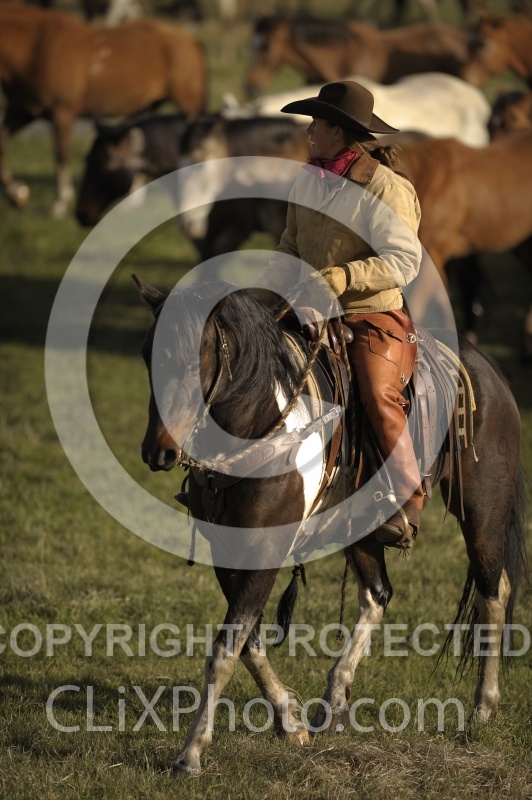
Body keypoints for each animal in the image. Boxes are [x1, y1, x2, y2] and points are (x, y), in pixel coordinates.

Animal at [0, 4, 206, 216]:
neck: (35, 48)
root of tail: (189, 39)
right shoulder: (22, 111)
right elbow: (2, 140)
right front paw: (15, 193)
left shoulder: (62, 112)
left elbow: (61, 155)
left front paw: (60, 203)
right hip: (147, 106)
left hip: (188, 104)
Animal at [134, 275, 527, 775]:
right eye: (147, 354)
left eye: (193, 358)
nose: (158, 452)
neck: (261, 426)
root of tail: (490, 372)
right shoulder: (227, 551)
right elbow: (247, 641)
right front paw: (290, 722)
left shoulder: (265, 552)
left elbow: (227, 647)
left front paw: (190, 754)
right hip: (363, 528)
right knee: (378, 594)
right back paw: (334, 700)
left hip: (482, 511)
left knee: (493, 591)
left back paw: (482, 707)